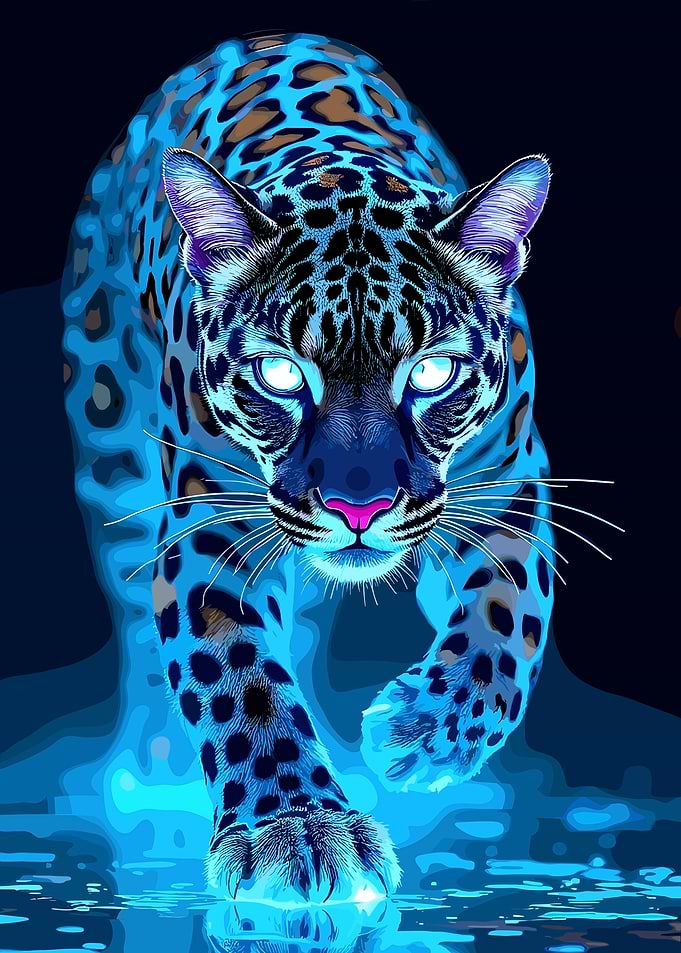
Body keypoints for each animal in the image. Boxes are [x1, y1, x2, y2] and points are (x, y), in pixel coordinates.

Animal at [62, 31, 555, 904]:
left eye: (432, 372)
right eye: (280, 374)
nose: (358, 508)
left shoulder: (509, 488)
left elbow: (506, 626)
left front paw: (419, 735)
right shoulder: (212, 524)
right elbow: (238, 675)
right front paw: (294, 827)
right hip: (108, 441)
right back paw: (154, 766)